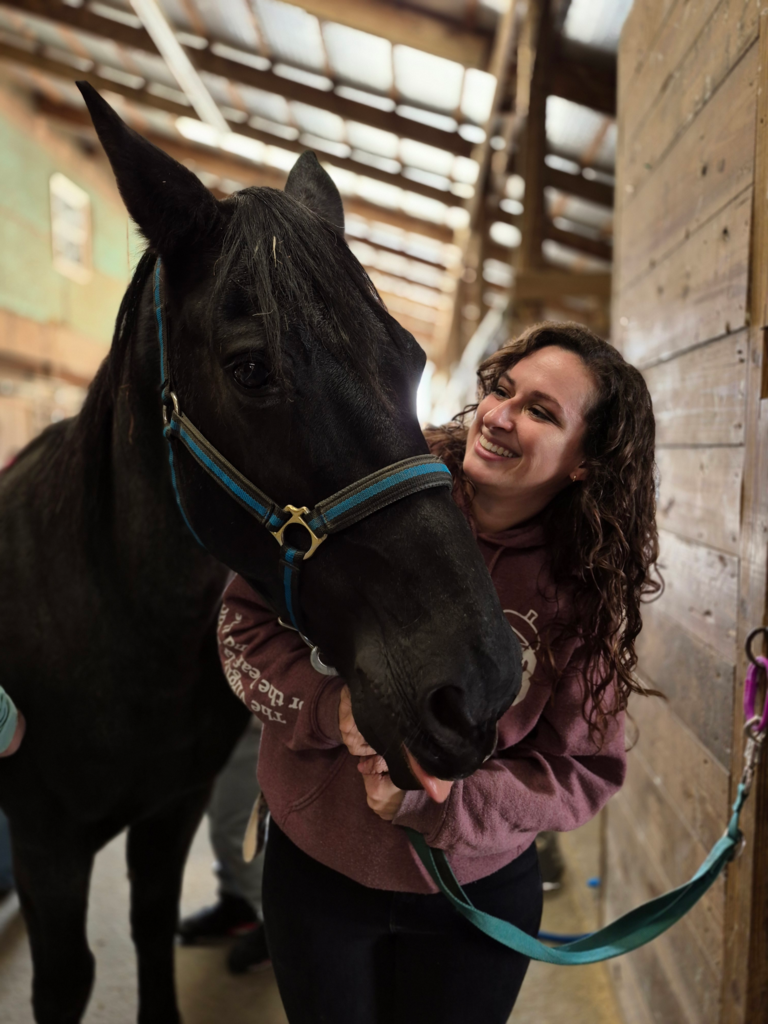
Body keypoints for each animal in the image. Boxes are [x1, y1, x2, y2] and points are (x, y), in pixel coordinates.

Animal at [0, 82, 521, 1024]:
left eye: (412, 357)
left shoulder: (171, 811)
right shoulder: (45, 844)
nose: (482, 685)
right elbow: (67, 979)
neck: (114, 623)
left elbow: (149, 927)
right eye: (251, 369)